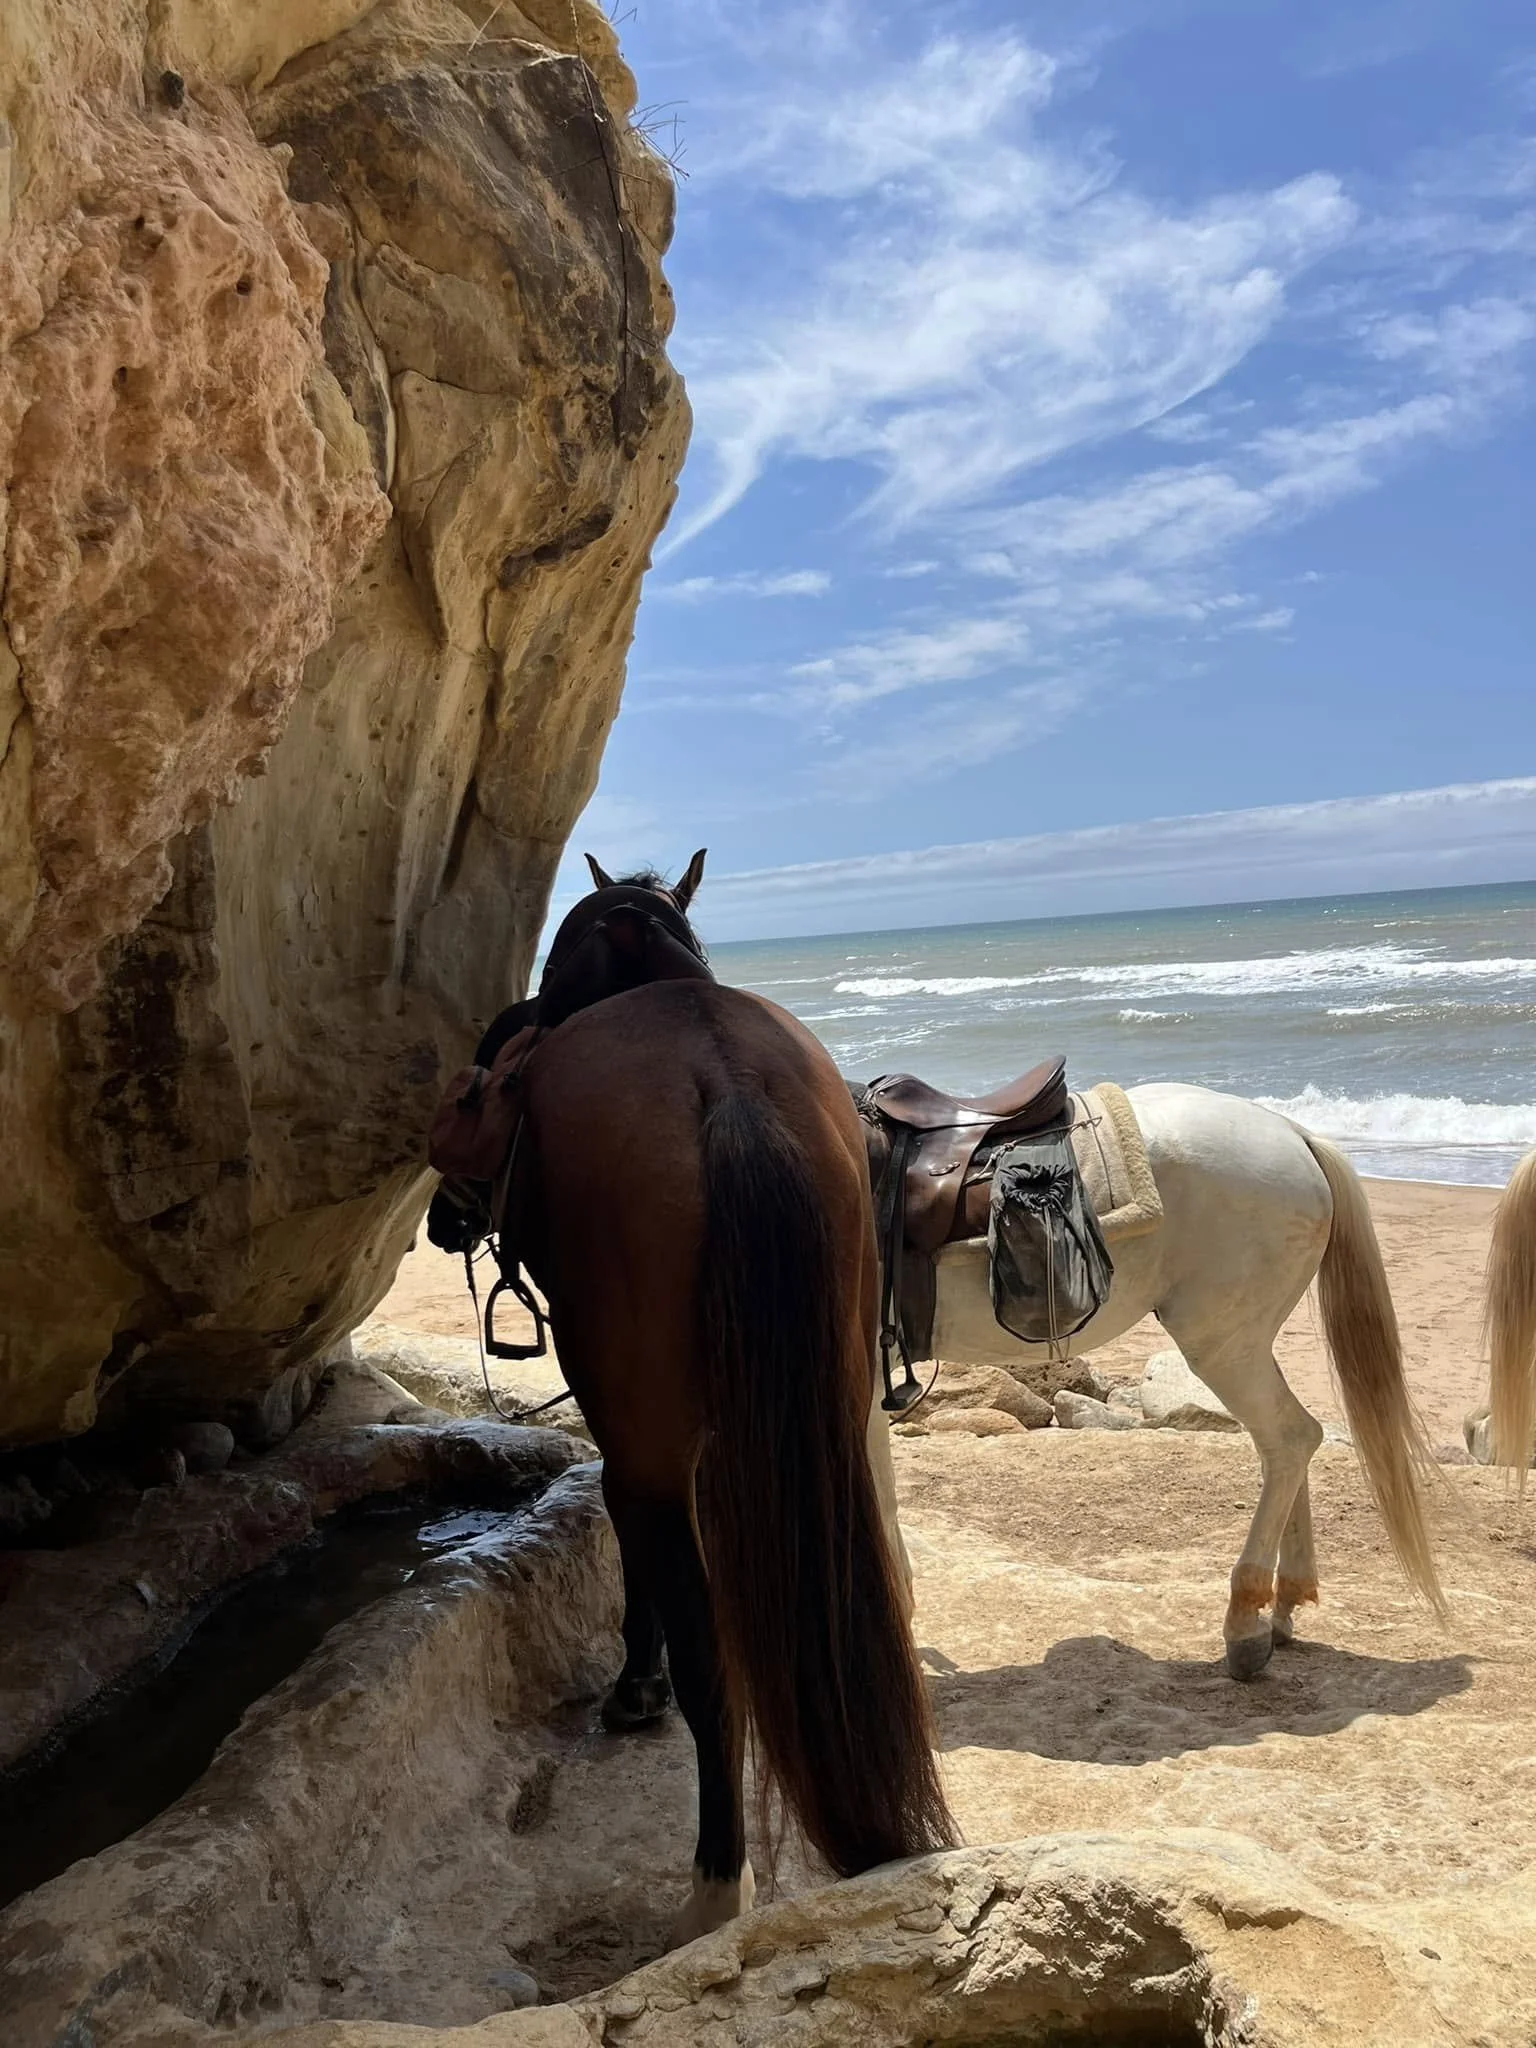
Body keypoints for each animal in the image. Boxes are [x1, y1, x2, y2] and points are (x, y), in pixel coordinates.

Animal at [426, 857, 954, 1942]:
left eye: (555, 960)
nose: (444, 1216)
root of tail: (723, 1084)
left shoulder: (632, 1440)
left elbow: (634, 1560)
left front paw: (637, 1686)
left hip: (656, 1444)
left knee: (718, 1662)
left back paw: (715, 1881)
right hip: (833, 1397)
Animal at [864, 1079, 1447, 1679]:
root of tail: (1293, 1133)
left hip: (1221, 1344)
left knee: (1290, 1439)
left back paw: (1245, 1622)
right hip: (1242, 1343)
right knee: (1286, 1442)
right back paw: (1284, 1604)